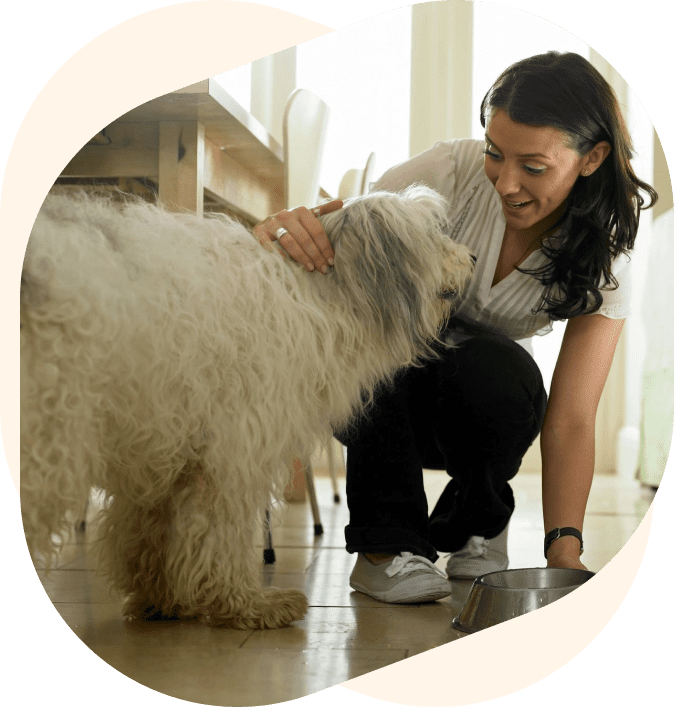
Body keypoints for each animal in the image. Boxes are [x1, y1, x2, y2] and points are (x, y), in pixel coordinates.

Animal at [21, 185, 472, 628]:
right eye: (433, 235)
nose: (472, 259)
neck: (314, 292)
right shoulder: (234, 447)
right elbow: (223, 532)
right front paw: (244, 603)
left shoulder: (166, 446)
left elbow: (147, 530)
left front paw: (162, 599)